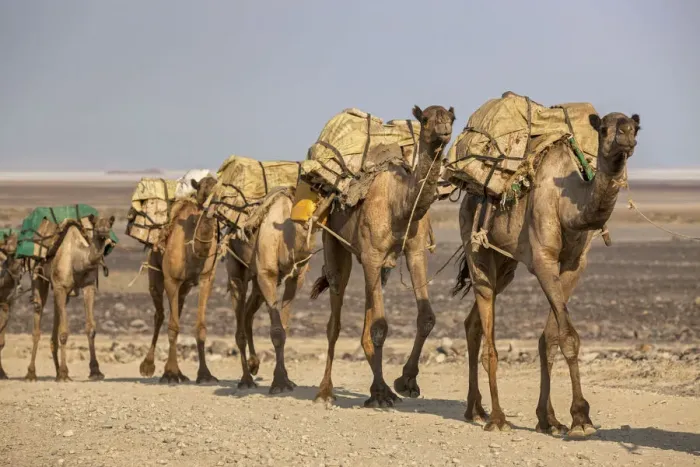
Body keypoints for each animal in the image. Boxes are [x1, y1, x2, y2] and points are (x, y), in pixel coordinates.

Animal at [25, 214, 115, 381]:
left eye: (109, 224)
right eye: (96, 225)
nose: (104, 233)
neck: (77, 259)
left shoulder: (88, 286)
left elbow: (90, 328)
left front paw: (96, 371)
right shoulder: (60, 287)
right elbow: (64, 332)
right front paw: (64, 373)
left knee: (56, 314)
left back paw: (55, 371)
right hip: (38, 274)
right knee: (38, 311)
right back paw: (31, 373)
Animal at [138, 176, 220, 384]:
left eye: (219, 186)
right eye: (203, 187)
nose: (212, 203)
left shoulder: (206, 279)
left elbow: (200, 327)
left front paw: (205, 374)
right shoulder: (172, 280)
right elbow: (173, 327)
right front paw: (171, 374)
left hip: (184, 288)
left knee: (176, 311)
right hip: (155, 275)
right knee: (159, 316)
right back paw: (148, 366)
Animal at [224, 187, 316, 393]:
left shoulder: (295, 279)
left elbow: (284, 328)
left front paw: (287, 380)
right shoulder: (267, 275)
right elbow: (277, 331)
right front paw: (279, 383)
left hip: (257, 282)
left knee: (248, 313)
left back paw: (254, 364)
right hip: (236, 269)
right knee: (240, 318)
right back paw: (246, 379)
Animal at [311, 104, 456, 407]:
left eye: (451, 118)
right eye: (426, 119)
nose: (444, 130)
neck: (398, 205)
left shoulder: (414, 251)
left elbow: (426, 317)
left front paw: (406, 382)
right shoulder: (373, 255)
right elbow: (379, 327)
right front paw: (379, 393)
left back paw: (384, 388)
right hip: (334, 243)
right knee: (335, 320)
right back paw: (325, 392)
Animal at [453, 112, 640, 436]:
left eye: (635, 126)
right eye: (604, 129)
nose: (626, 136)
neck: (569, 206)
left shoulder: (574, 264)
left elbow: (550, 337)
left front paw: (549, 419)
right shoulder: (543, 260)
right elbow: (568, 336)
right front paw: (581, 418)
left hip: (505, 264)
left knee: (473, 323)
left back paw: (475, 409)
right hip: (474, 243)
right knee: (488, 335)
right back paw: (497, 418)